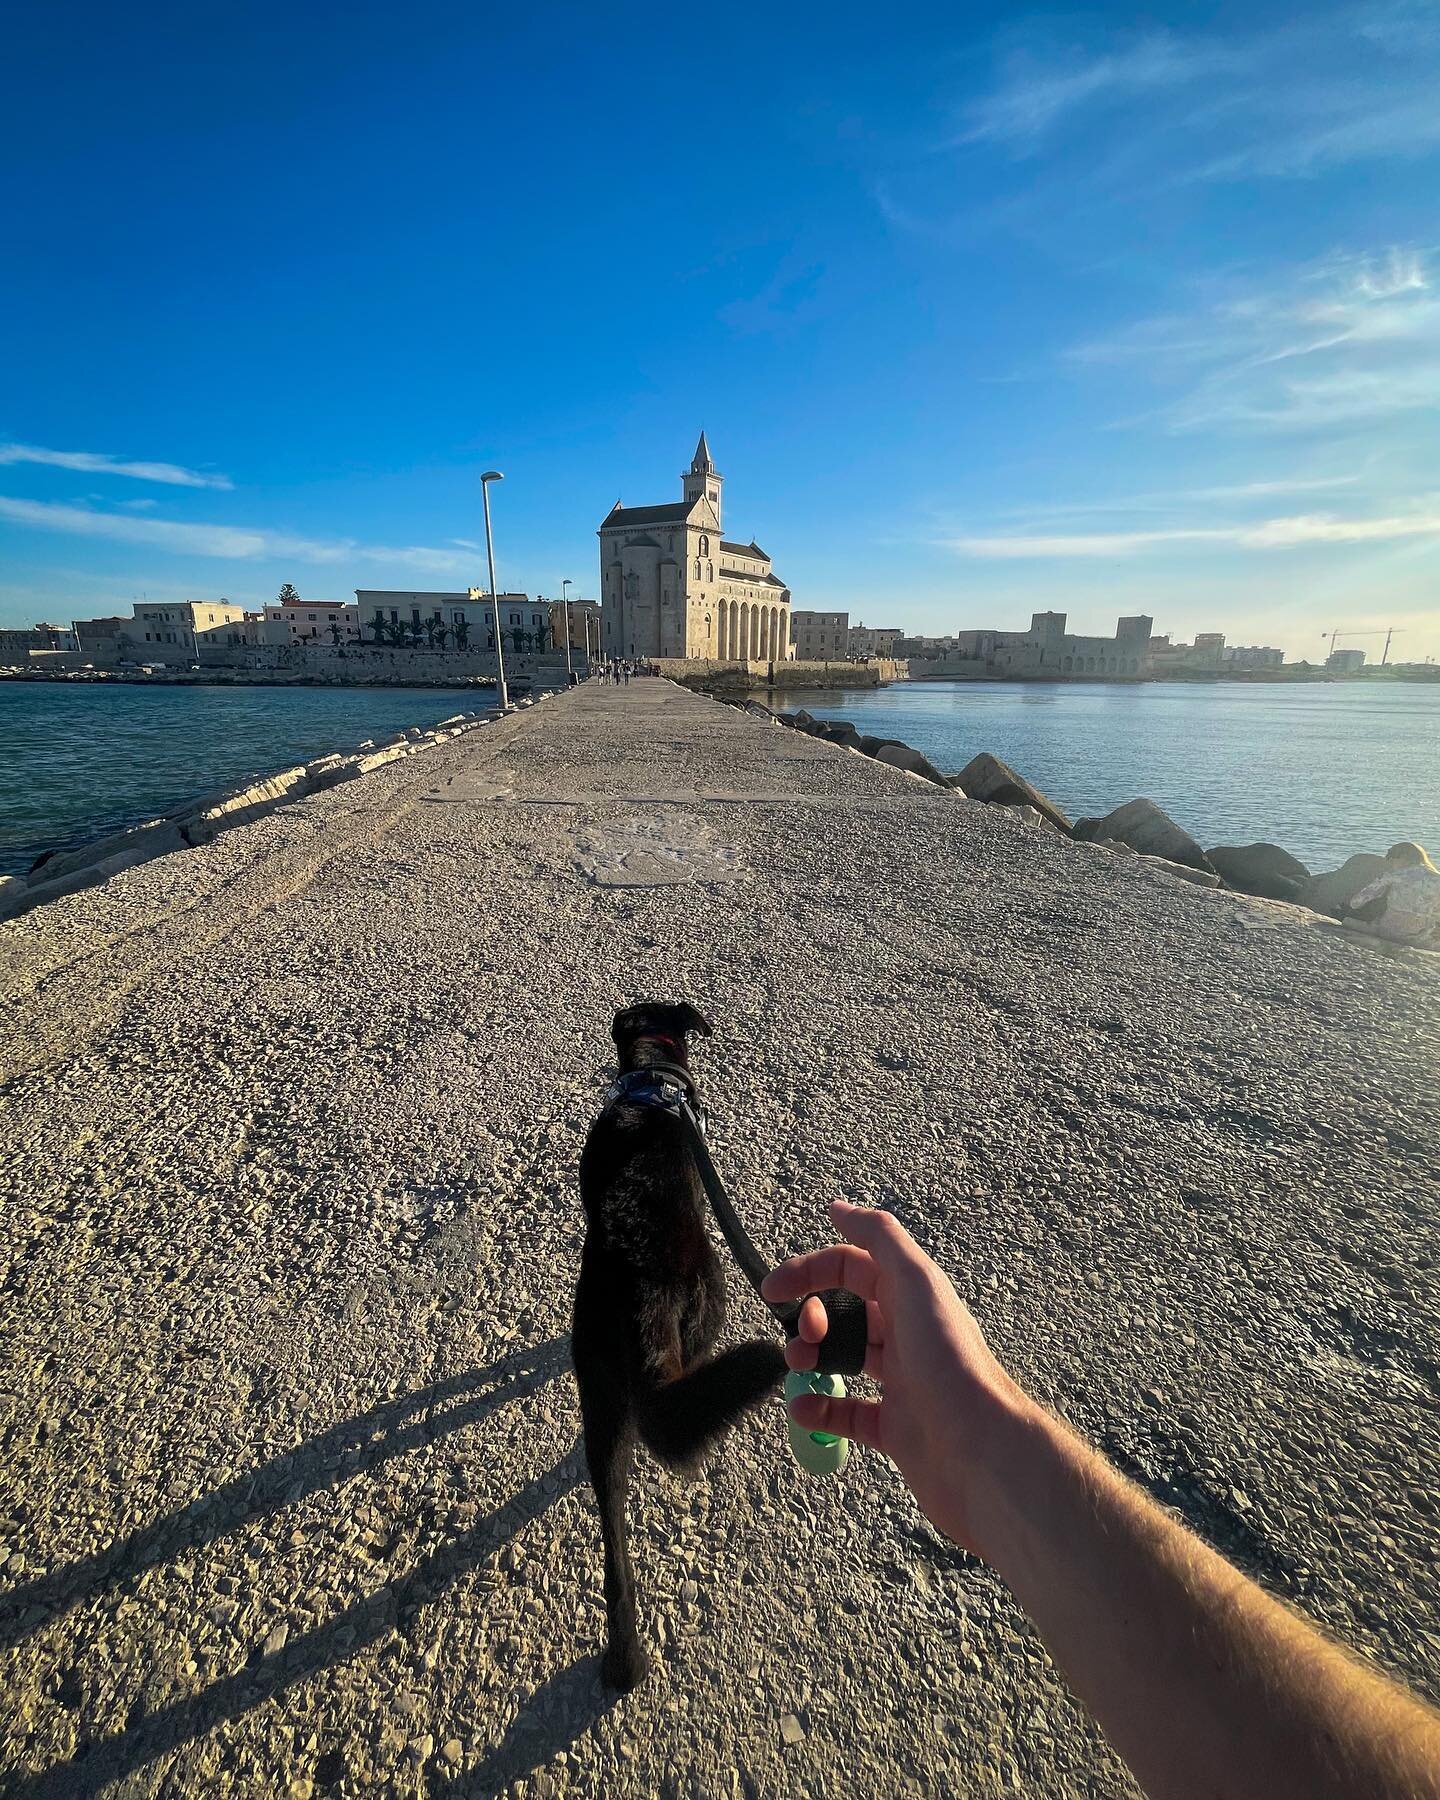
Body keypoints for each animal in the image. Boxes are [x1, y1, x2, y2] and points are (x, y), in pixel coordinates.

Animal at [572, 1000, 781, 1684]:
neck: (652, 1082)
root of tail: (644, 1296)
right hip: (708, 1305)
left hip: (600, 1402)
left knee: (614, 1549)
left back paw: (624, 1659)